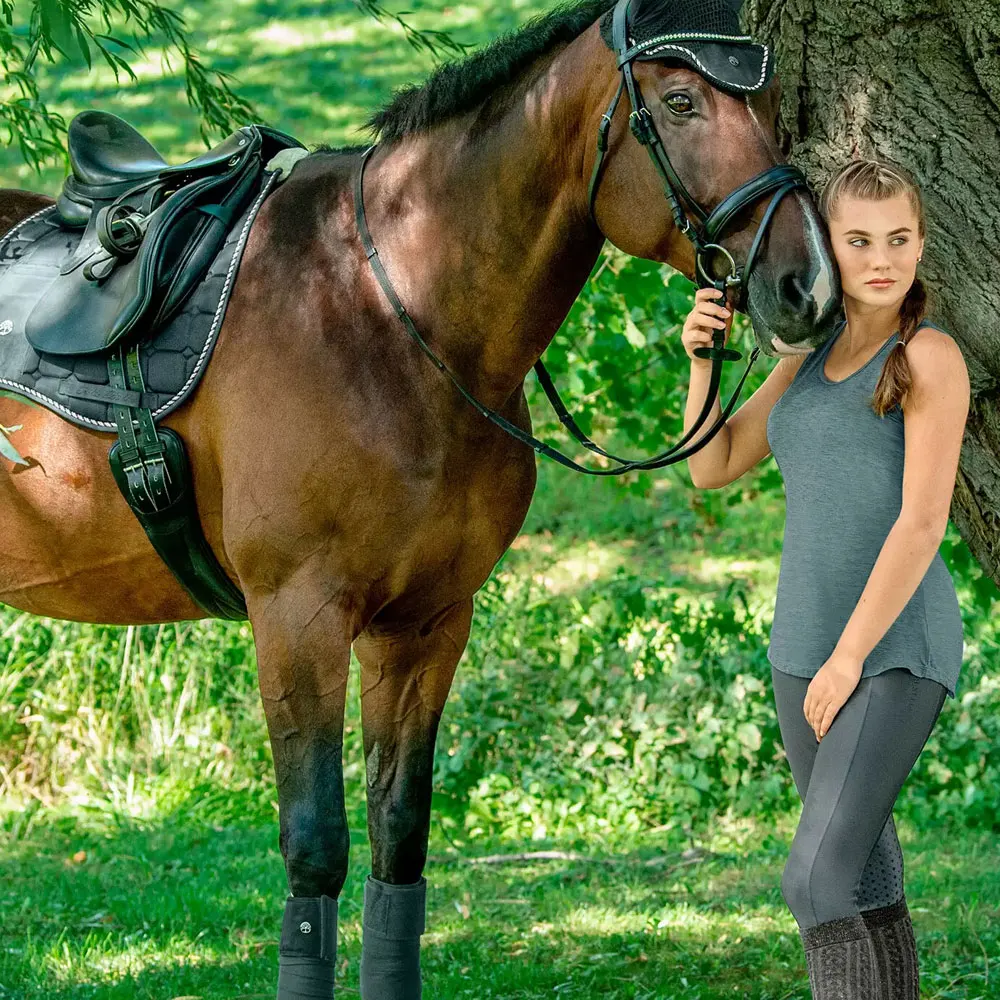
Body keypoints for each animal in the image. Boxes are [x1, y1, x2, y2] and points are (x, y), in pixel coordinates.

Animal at [0, 0, 841, 993]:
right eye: (679, 101)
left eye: (776, 101)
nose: (809, 284)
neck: (385, 311)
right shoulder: (297, 618)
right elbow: (316, 854)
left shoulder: (427, 624)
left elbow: (398, 843)